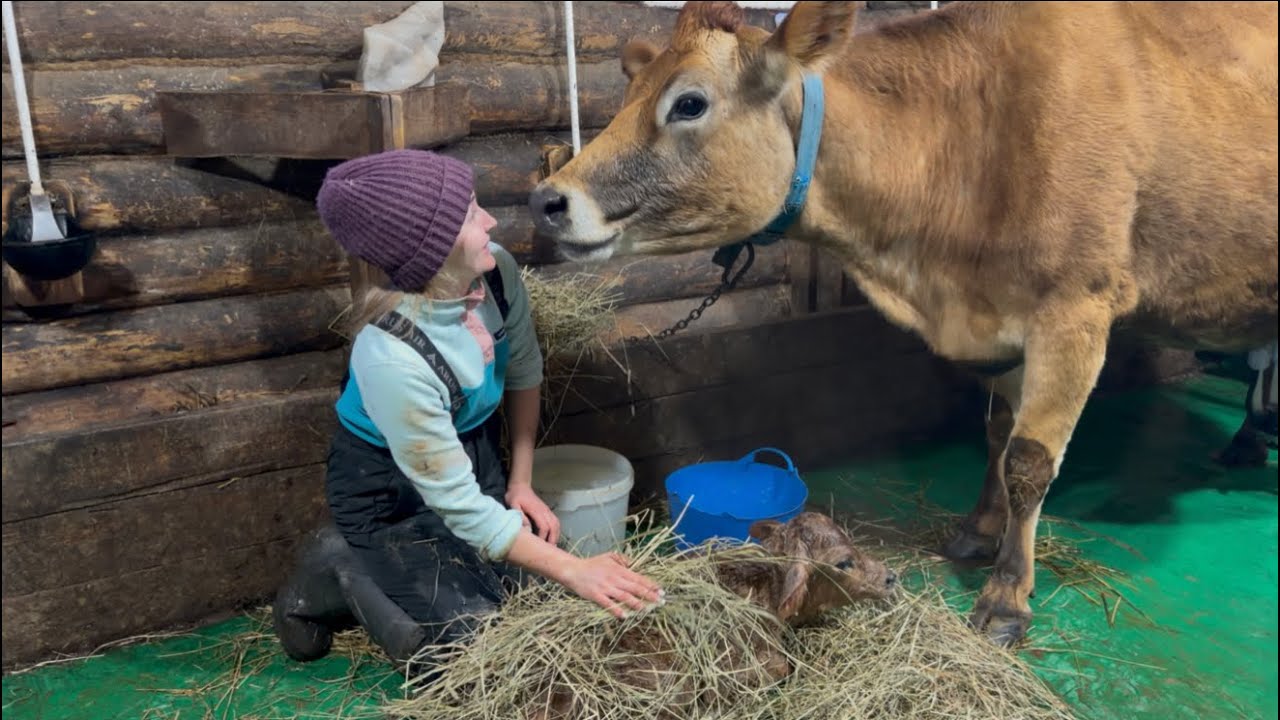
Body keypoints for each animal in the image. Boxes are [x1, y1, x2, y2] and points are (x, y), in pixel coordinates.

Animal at [527, 0, 1278, 647]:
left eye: (688, 102)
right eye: (629, 93)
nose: (547, 200)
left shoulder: (1074, 310)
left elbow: (1029, 462)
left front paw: (1006, 597)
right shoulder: (999, 324)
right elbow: (996, 434)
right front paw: (977, 531)